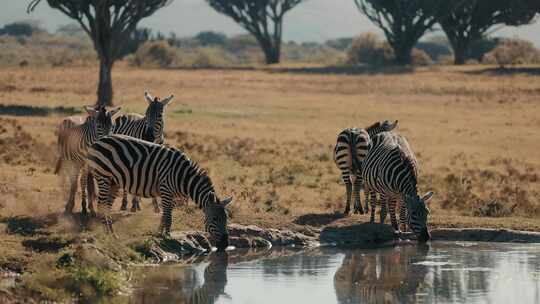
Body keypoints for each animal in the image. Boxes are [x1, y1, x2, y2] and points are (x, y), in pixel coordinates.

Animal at [85, 134, 233, 251]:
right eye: (215, 219)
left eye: (227, 218)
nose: (225, 244)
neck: (184, 178)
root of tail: (98, 141)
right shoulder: (166, 189)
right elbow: (168, 216)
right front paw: (167, 236)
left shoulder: (172, 196)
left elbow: (165, 215)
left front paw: (159, 233)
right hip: (103, 176)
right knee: (101, 205)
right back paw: (105, 233)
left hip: (114, 182)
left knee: (107, 206)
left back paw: (112, 233)